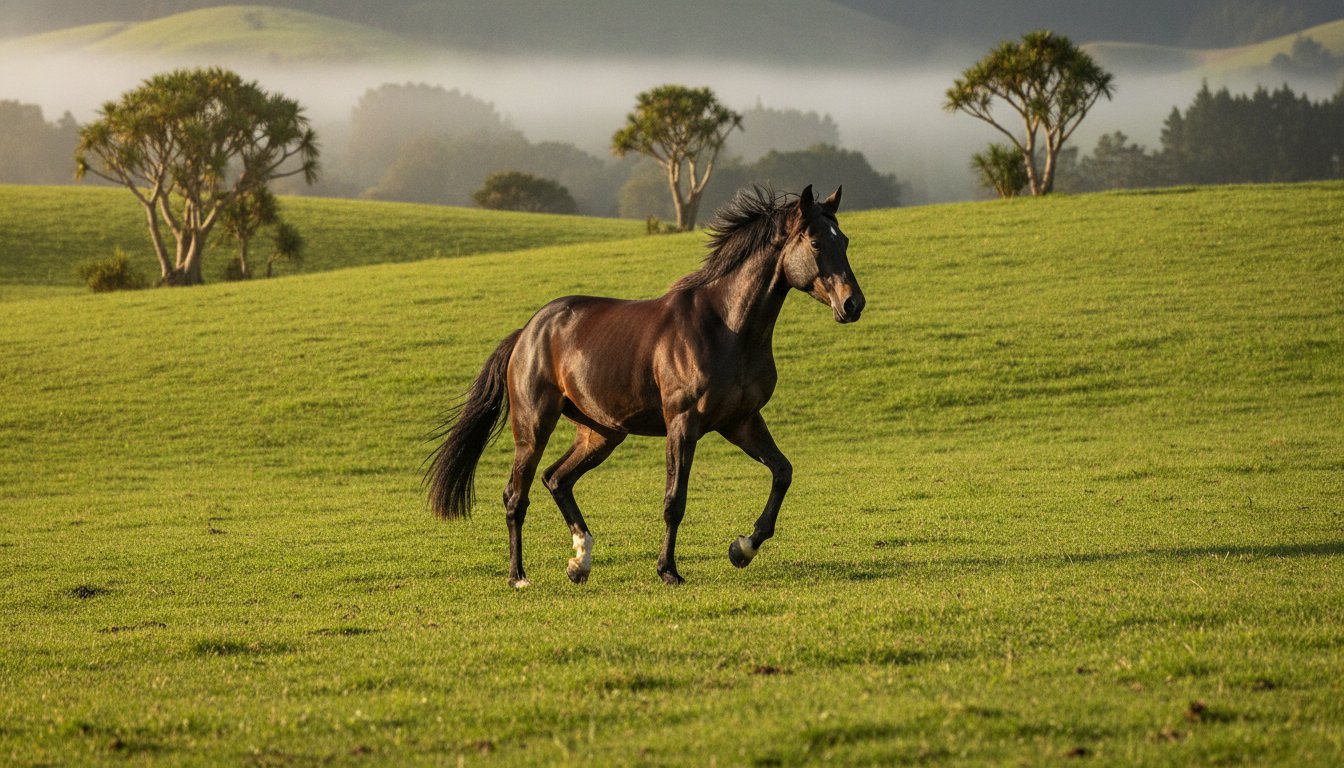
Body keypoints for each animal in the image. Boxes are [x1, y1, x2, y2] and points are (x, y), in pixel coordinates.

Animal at [425, 184, 865, 587]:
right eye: (814, 240)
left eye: (843, 240)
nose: (853, 304)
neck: (726, 327)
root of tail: (527, 333)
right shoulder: (683, 424)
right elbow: (674, 500)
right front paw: (668, 570)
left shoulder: (741, 421)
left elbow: (782, 472)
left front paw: (742, 548)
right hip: (534, 428)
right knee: (517, 494)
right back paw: (518, 576)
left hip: (600, 433)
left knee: (557, 479)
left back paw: (580, 561)